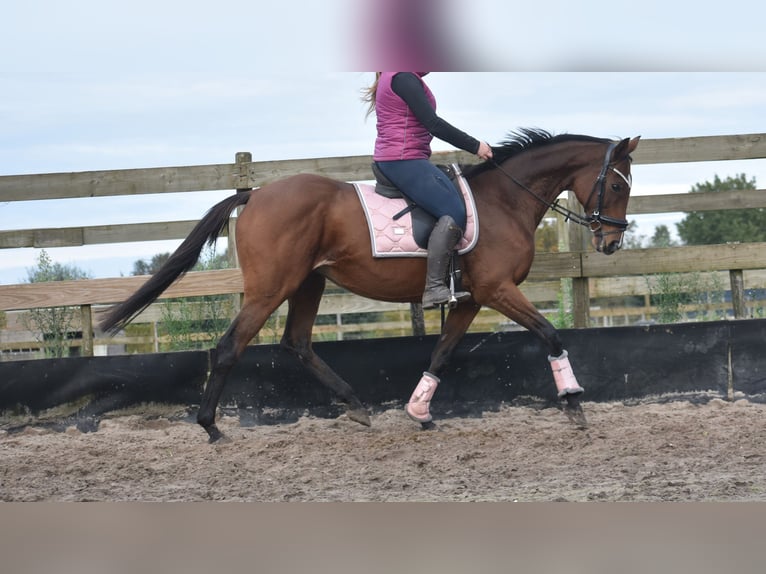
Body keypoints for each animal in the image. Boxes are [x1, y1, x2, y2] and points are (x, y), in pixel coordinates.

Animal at [100, 129, 640, 446]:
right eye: (617, 185)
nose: (612, 241)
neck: (504, 200)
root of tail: (254, 195)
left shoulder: (471, 299)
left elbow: (443, 351)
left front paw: (418, 409)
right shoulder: (498, 289)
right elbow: (550, 334)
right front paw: (574, 403)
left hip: (308, 283)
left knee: (297, 343)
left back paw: (358, 407)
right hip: (271, 287)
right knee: (231, 345)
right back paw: (211, 426)